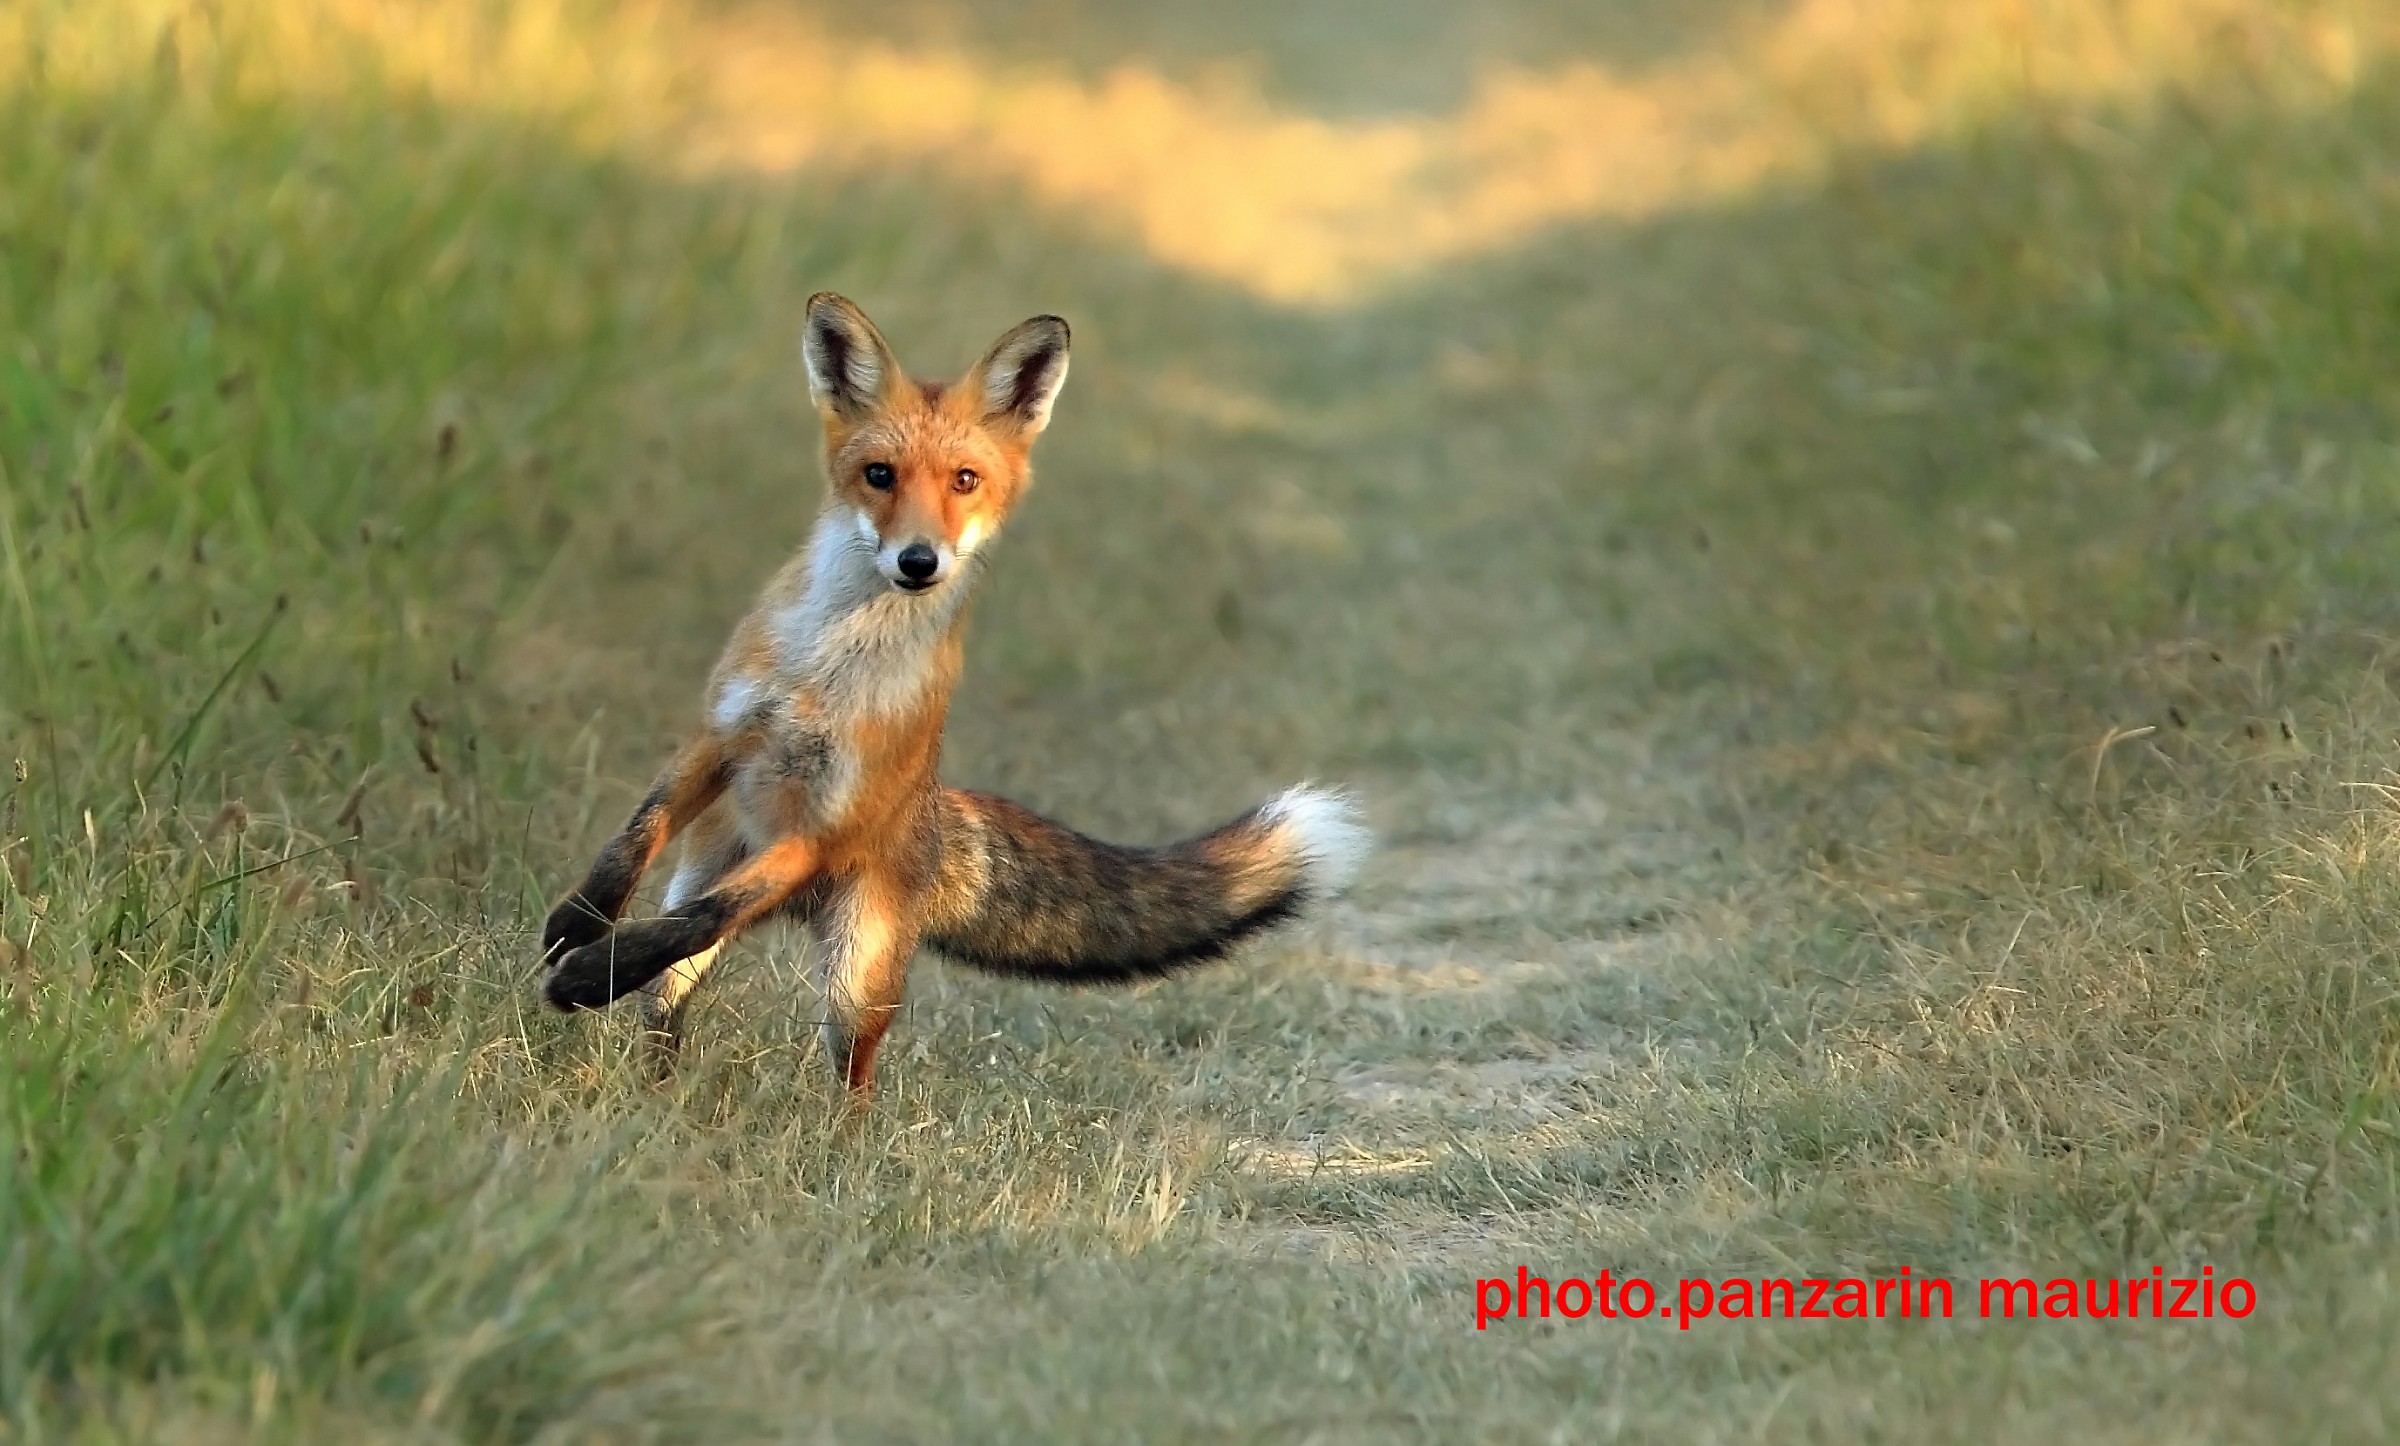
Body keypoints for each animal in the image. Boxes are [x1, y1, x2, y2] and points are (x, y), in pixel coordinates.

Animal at [537, 293, 1369, 1094]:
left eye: (964, 481)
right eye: (879, 475)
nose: (918, 561)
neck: (828, 672)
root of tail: (929, 812)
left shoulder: (824, 827)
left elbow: (710, 910)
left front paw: (587, 975)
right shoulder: (722, 733)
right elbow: (632, 839)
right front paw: (576, 928)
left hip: (855, 979)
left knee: (848, 1074)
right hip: (709, 895)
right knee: (667, 990)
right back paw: (651, 1098)